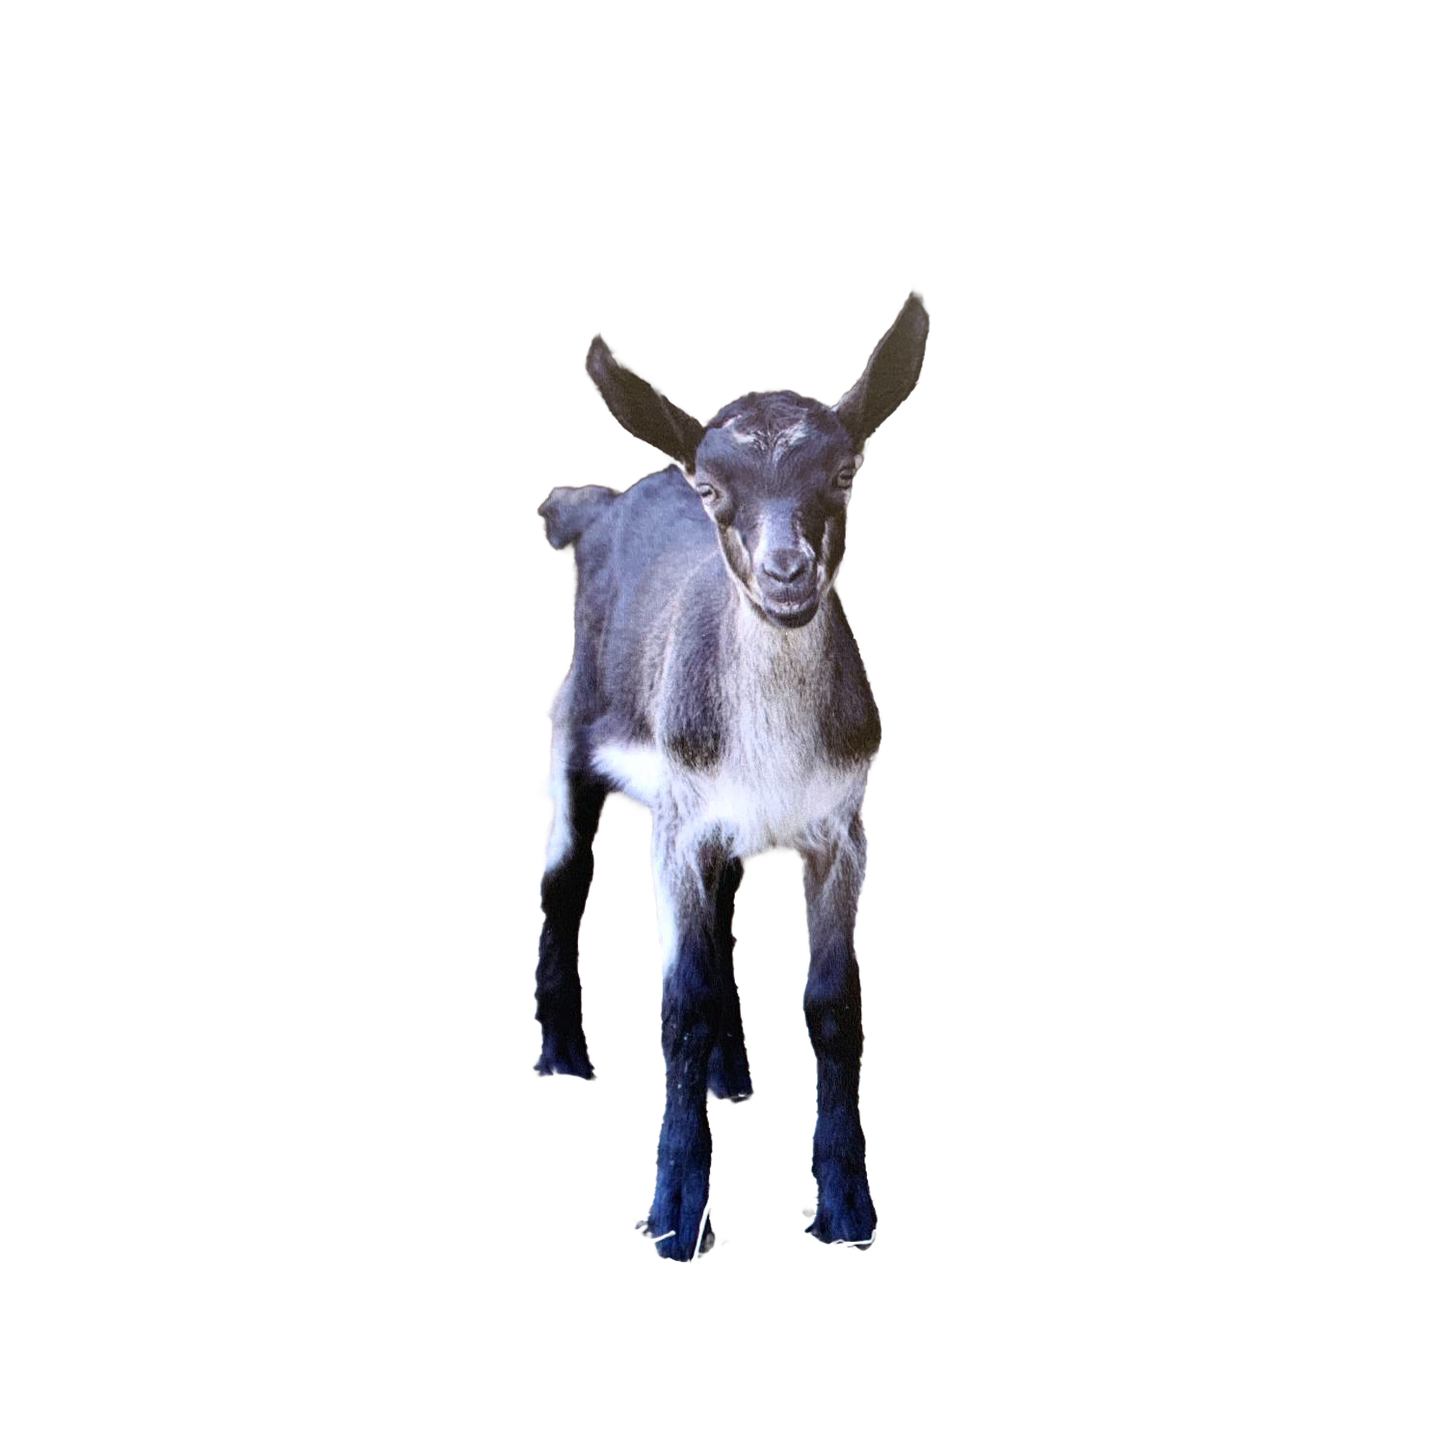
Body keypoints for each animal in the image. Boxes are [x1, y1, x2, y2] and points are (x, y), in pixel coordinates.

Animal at [529, 277, 933, 1266]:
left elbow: (833, 1007)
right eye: (714, 488)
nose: (787, 574)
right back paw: (563, 1056)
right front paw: (675, 1215)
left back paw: (730, 1077)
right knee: (565, 875)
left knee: (720, 913)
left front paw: (845, 1210)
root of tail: (590, 510)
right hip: (576, 729)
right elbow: (678, 998)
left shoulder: (842, 827)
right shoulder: (678, 823)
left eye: (843, 474)